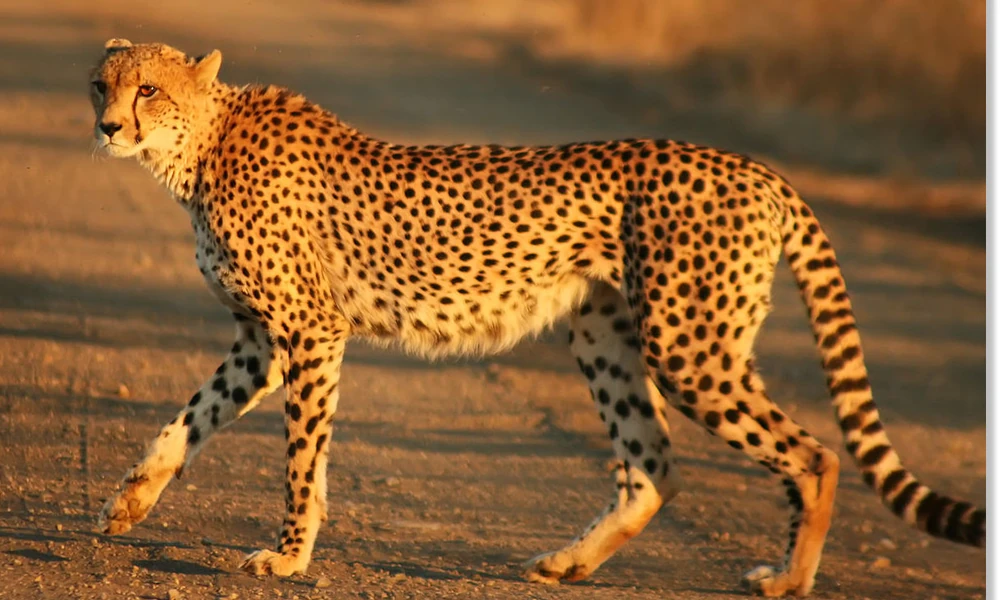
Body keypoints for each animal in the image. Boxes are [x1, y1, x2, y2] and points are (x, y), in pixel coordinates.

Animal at [89, 39, 984, 597]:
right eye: (103, 84)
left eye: (149, 90)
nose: (106, 126)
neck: (199, 145)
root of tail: (755, 166)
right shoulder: (260, 341)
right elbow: (190, 417)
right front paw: (131, 501)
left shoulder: (309, 331)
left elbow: (302, 459)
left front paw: (287, 556)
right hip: (606, 335)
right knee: (653, 468)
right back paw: (570, 564)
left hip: (689, 346)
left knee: (815, 454)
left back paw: (790, 579)